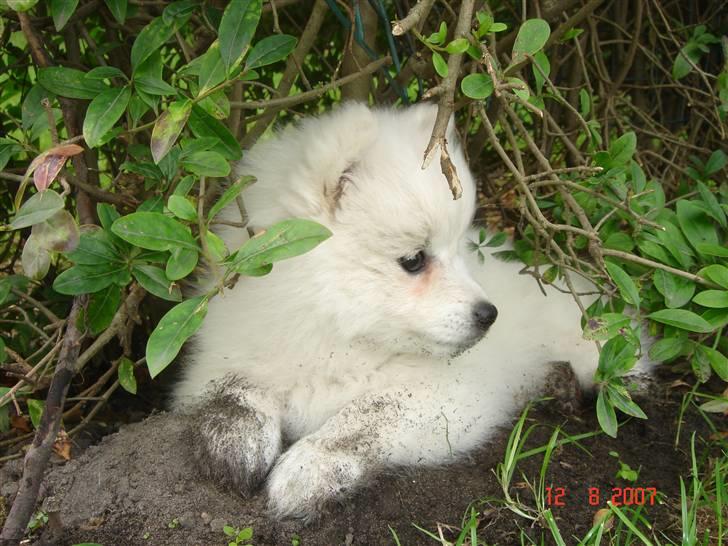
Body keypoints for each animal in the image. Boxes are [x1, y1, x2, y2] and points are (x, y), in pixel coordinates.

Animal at [173, 101, 600, 520]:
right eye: (414, 260)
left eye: (458, 250)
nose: (489, 314)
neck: (333, 337)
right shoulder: (223, 358)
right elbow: (233, 390)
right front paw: (231, 441)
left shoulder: (448, 395)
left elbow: (365, 415)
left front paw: (308, 470)